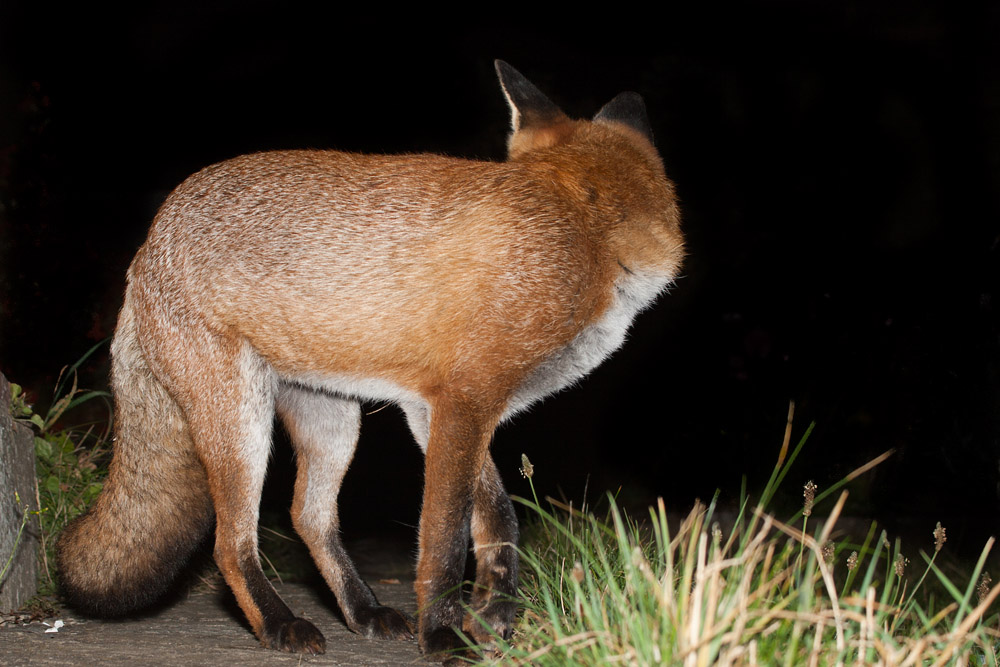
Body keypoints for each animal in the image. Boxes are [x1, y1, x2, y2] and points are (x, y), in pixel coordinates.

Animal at [55, 61, 684, 659]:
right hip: (240, 423)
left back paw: (363, 611)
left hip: (333, 421)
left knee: (307, 516)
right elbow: (444, 538)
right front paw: (445, 635)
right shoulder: (466, 398)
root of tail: (147, 244)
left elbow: (499, 518)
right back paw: (280, 623)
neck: (583, 225)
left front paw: (495, 617)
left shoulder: (438, 408)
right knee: (231, 544)